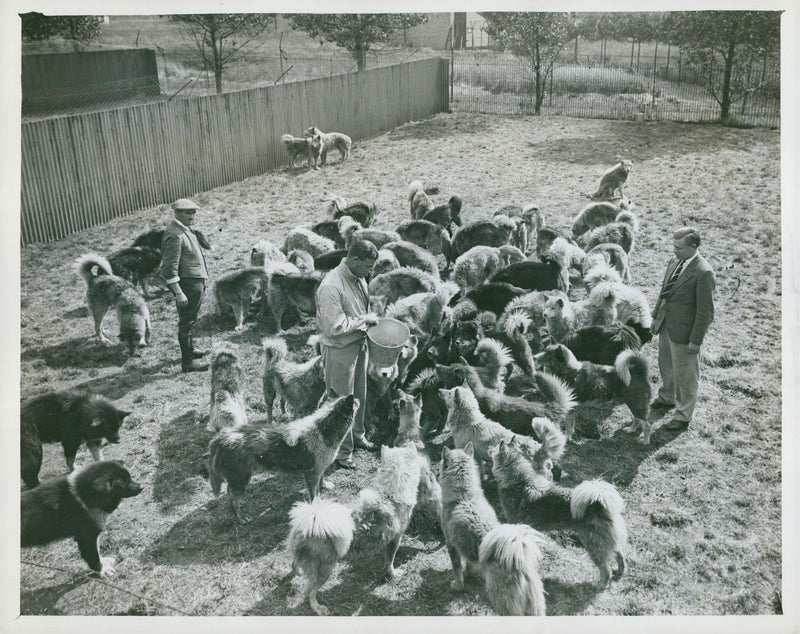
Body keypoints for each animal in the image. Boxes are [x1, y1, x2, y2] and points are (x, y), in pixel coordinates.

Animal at [438, 444, 544, 612]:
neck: (464, 497)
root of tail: (519, 561)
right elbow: (469, 564)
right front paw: (469, 573)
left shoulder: (451, 545)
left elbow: (457, 569)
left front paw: (458, 585)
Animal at [490, 434, 628, 588]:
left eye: (496, 447)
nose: (489, 448)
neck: (518, 480)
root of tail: (598, 502)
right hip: (607, 541)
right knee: (620, 555)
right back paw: (620, 571)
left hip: (593, 545)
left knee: (605, 568)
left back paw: (601, 585)